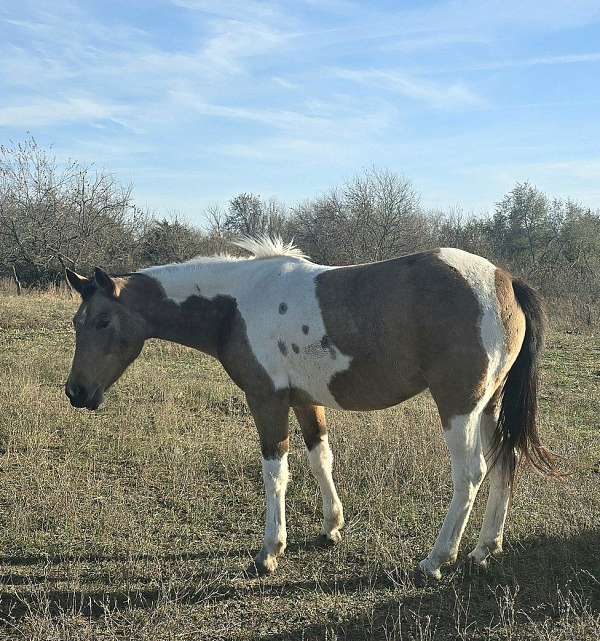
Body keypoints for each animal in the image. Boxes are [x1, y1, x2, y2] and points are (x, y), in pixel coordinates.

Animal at [64, 236, 554, 579]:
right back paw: (484, 549)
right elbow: (321, 459)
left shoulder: (266, 401)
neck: (236, 304)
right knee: (504, 461)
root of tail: (505, 280)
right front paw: (331, 526)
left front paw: (269, 552)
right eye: (76, 322)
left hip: (459, 407)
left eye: (103, 321)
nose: (76, 392)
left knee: (470, 474)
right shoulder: (305, 401)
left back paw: (437, 558)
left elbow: (275, 473)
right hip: (489, 405)